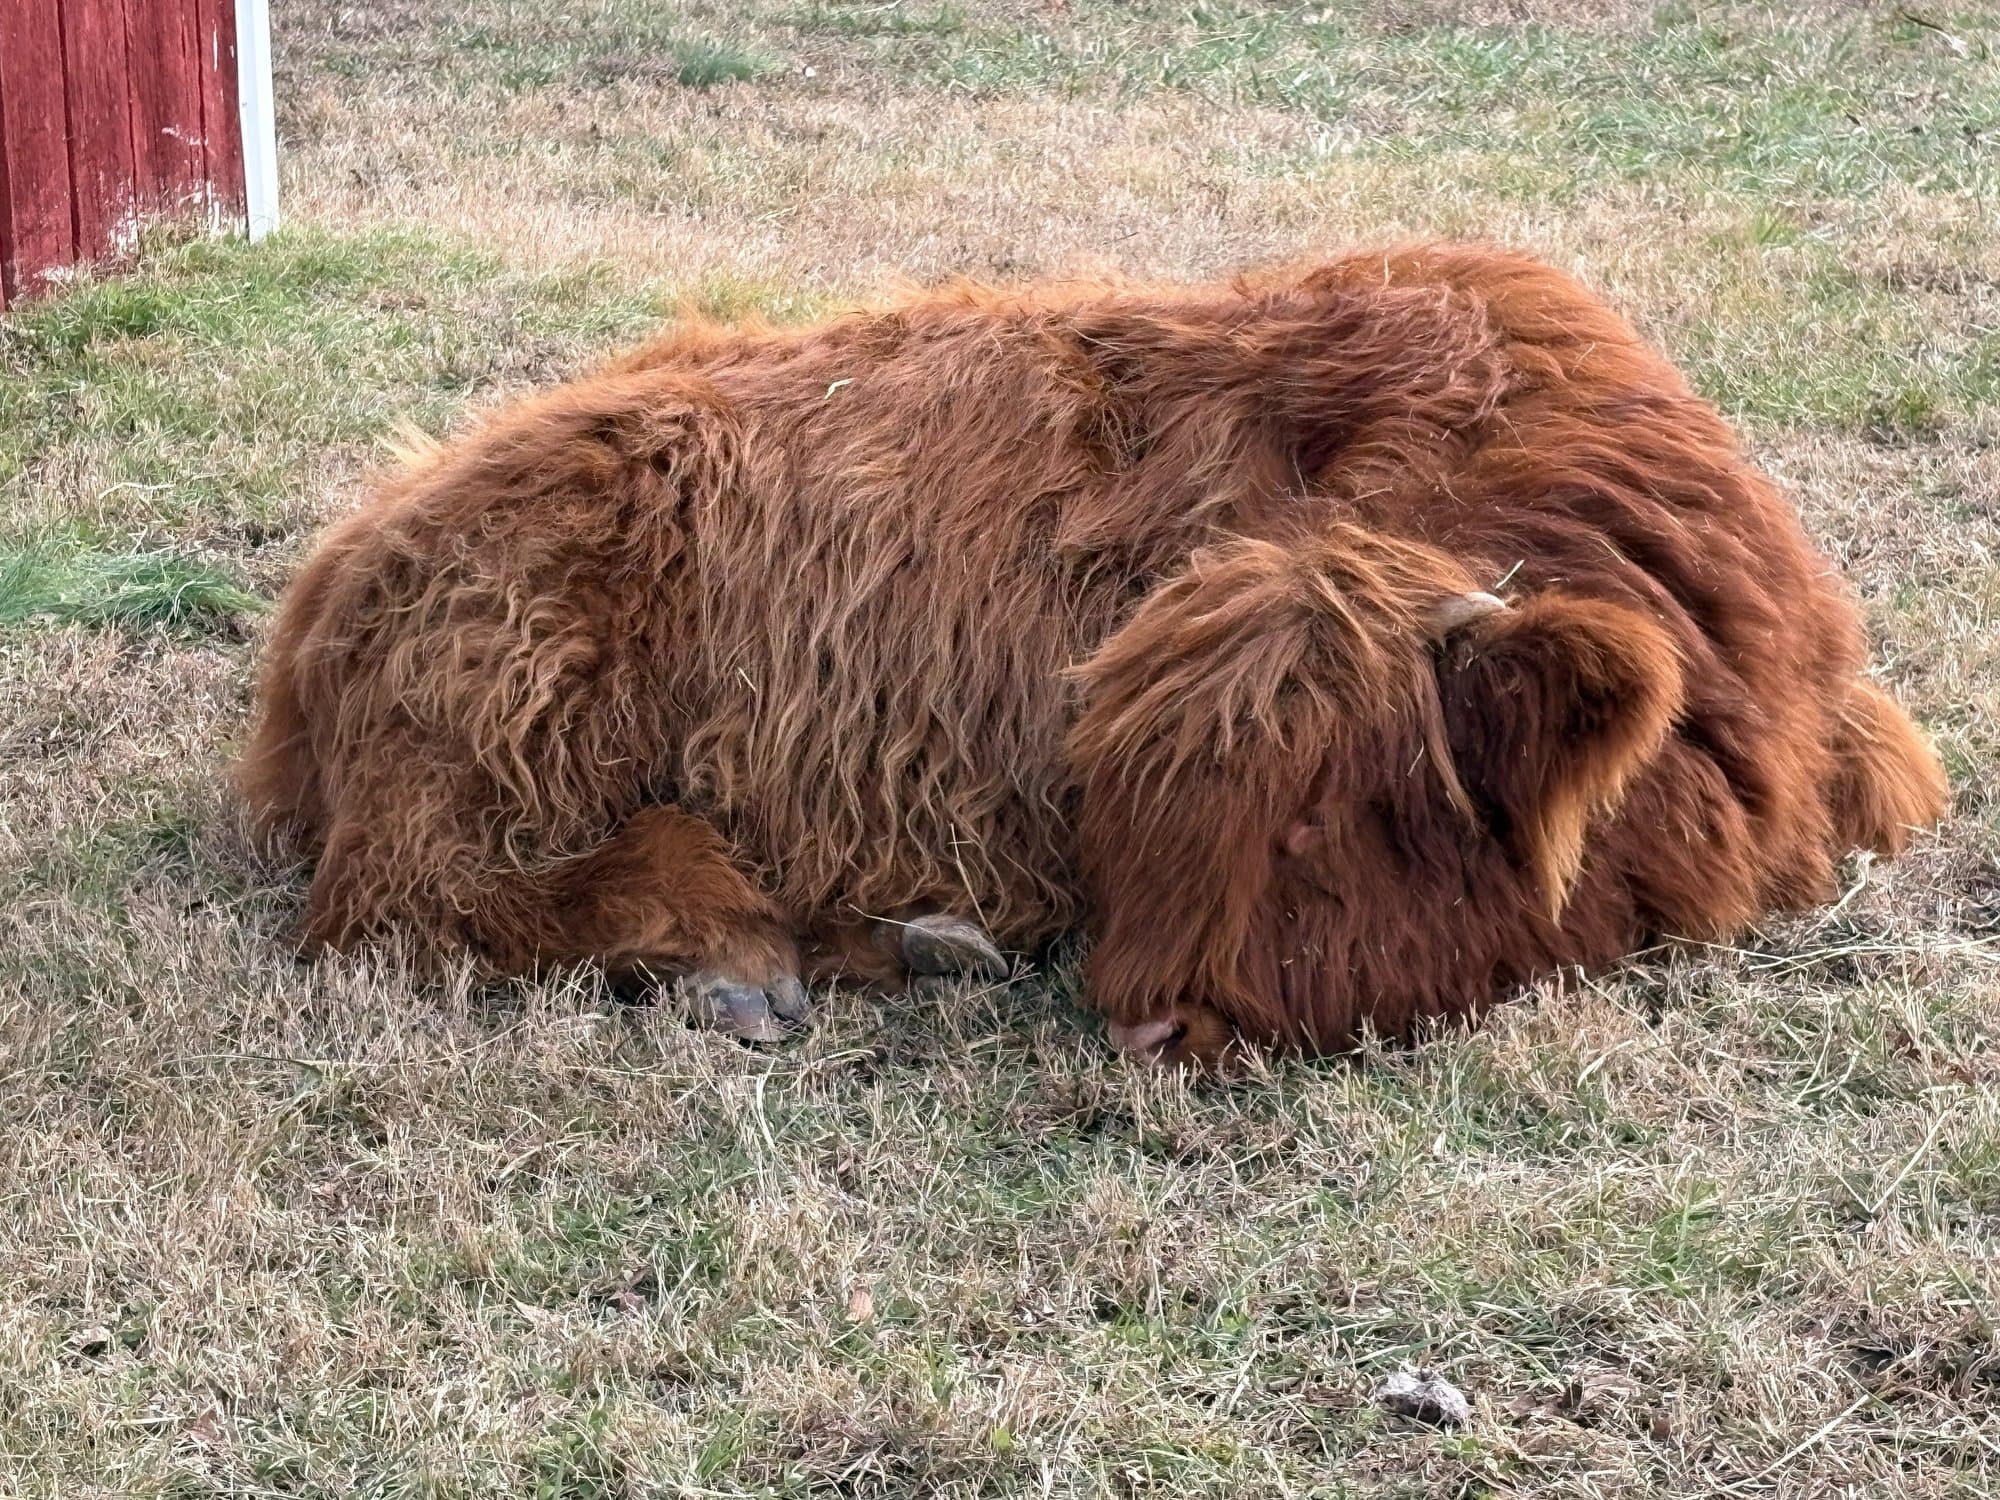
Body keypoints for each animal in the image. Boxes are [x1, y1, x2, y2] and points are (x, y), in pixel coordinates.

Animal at [238, 244, 1946, 1065]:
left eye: (1323, 817)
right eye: (1143, 796)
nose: (1141, 1024)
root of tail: (354, 551)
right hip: (507, 702)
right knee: (411, 902)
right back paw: (732, 950)